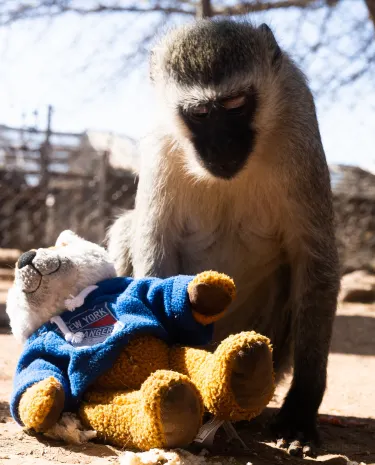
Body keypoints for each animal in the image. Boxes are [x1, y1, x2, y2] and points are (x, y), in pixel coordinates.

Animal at [108, 20, 340, 452]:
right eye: (200, 113)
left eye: (235, 105)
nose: (222, 145)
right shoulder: (160, 140)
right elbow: (155, 248)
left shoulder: (298, 122)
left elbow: (314, 262)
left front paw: (300, 412)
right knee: (126, 230)